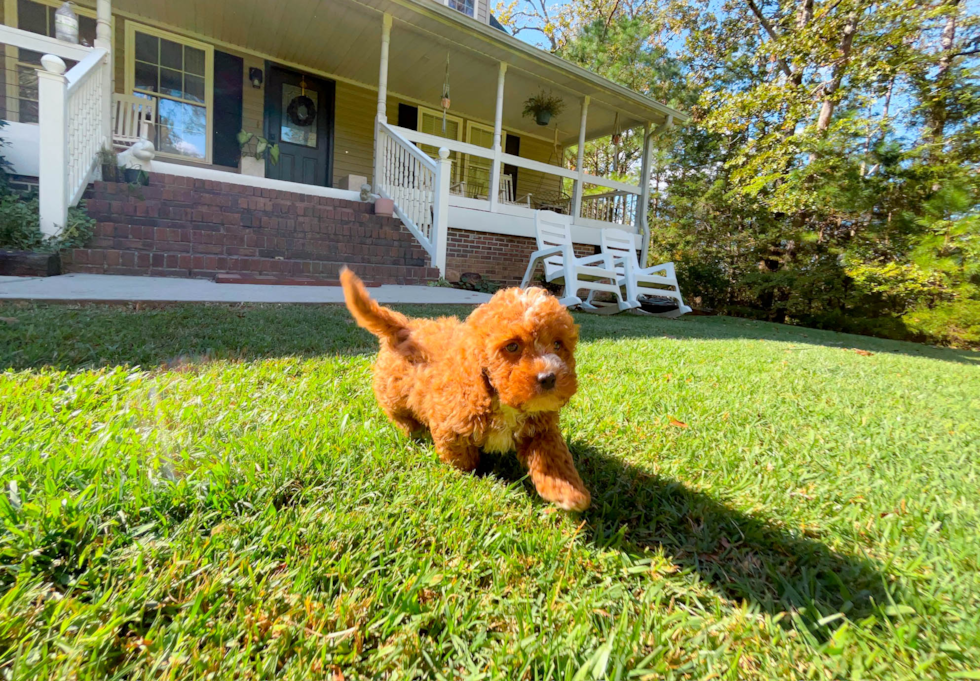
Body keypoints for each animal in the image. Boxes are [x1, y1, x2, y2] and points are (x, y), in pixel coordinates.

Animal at [342, 266, 588, 510]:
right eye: (512, 347)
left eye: (557, 344)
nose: (548, 378)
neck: (501, 401)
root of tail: (407, 327)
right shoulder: (451, 425)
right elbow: (462, 459)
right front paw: (470, 480)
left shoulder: (541, 429)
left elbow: (552, 458)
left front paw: (568, 492)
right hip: (393, 393)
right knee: (400, 415)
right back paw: (415, 431)